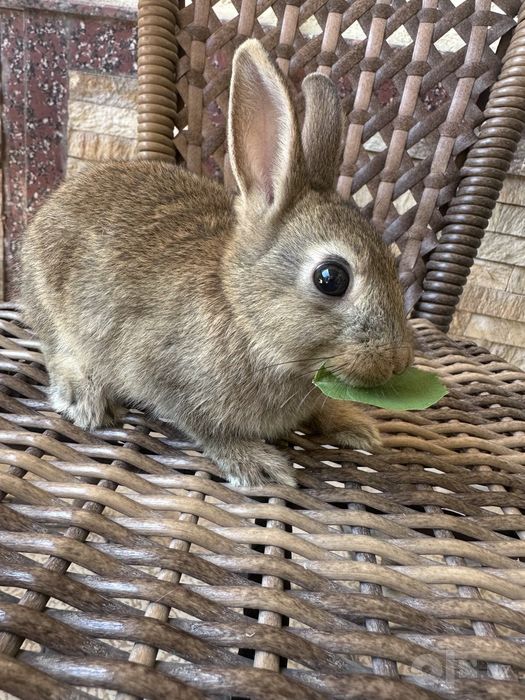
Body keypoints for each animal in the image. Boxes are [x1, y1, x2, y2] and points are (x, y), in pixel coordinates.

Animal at [20, 39, 413, 487]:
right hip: (52, 305)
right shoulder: (162, 375)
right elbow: (207, 427)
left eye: (392, 258)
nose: (398, 361)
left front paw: (353, 422)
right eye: (331, 278)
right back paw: (83, 396)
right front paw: (256, 463)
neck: (244, 315)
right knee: (56, 350)